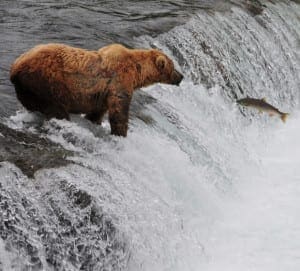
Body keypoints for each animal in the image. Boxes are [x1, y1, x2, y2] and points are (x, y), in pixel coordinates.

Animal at [9, 43, 183, 137]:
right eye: (173, 66)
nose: (181, 76)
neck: (137, 71)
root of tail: (14, 68)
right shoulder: (119, 81)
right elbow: (119, 110)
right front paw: (120, 133)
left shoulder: (102, 94)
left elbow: (97, 111)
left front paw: (95, 121)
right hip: (46, 83)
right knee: (56, 109)